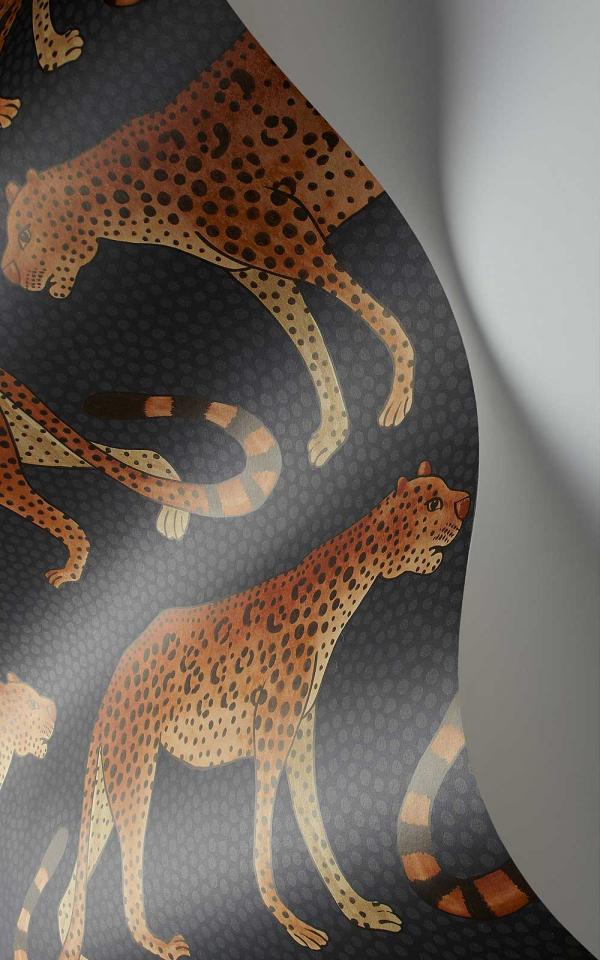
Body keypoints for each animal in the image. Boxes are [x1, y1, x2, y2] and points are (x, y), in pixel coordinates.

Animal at [2, 29, 416, 469]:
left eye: (24, 233)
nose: (8, 274)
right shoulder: (261, 274)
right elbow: (312, 347)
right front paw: (335, 432)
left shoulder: (296, 242)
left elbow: (371, 312)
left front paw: (401, 390)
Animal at [41, 461, 470, 959]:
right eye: (433, 501)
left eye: (444, 490)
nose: (465, 502)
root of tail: (109, 689)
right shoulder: (270, 741)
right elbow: (262, 841)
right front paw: (292, 922)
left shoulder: (298, 736)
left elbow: (315, 826)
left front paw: (359, 910)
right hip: (134, 776)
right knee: (125, 879)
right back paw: (160, 942)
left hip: (110, 790)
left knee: (70, 894)